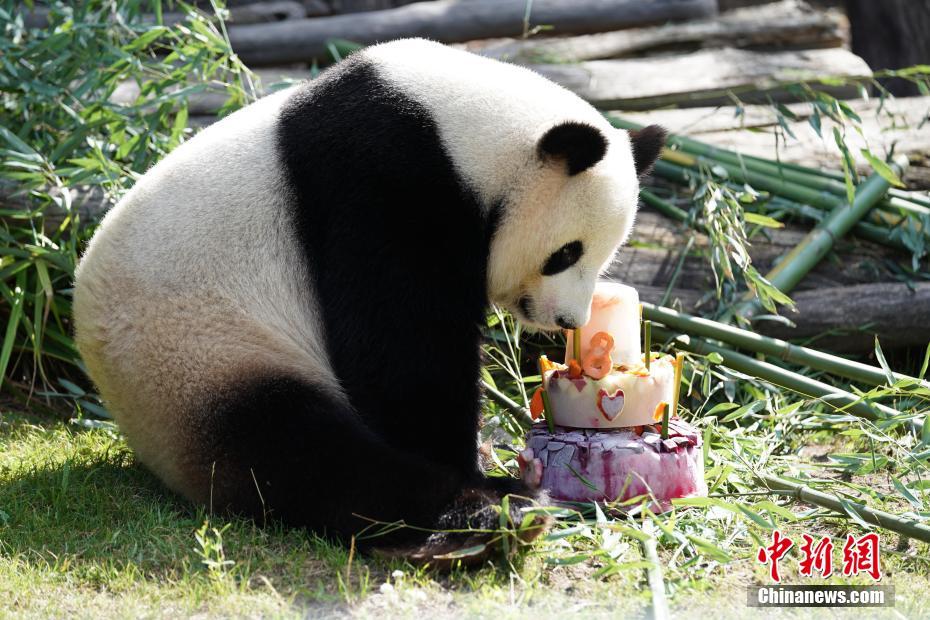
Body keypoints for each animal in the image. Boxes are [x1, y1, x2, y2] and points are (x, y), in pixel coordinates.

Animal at [76, 40, 664, 556]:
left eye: (605, 257)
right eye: (565, 253)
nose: (566, 319)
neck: (463, 132)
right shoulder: (384, 181)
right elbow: (401, 349)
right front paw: (464, 459)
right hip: (203, 353)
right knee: (306, 455)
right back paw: (491, 506)